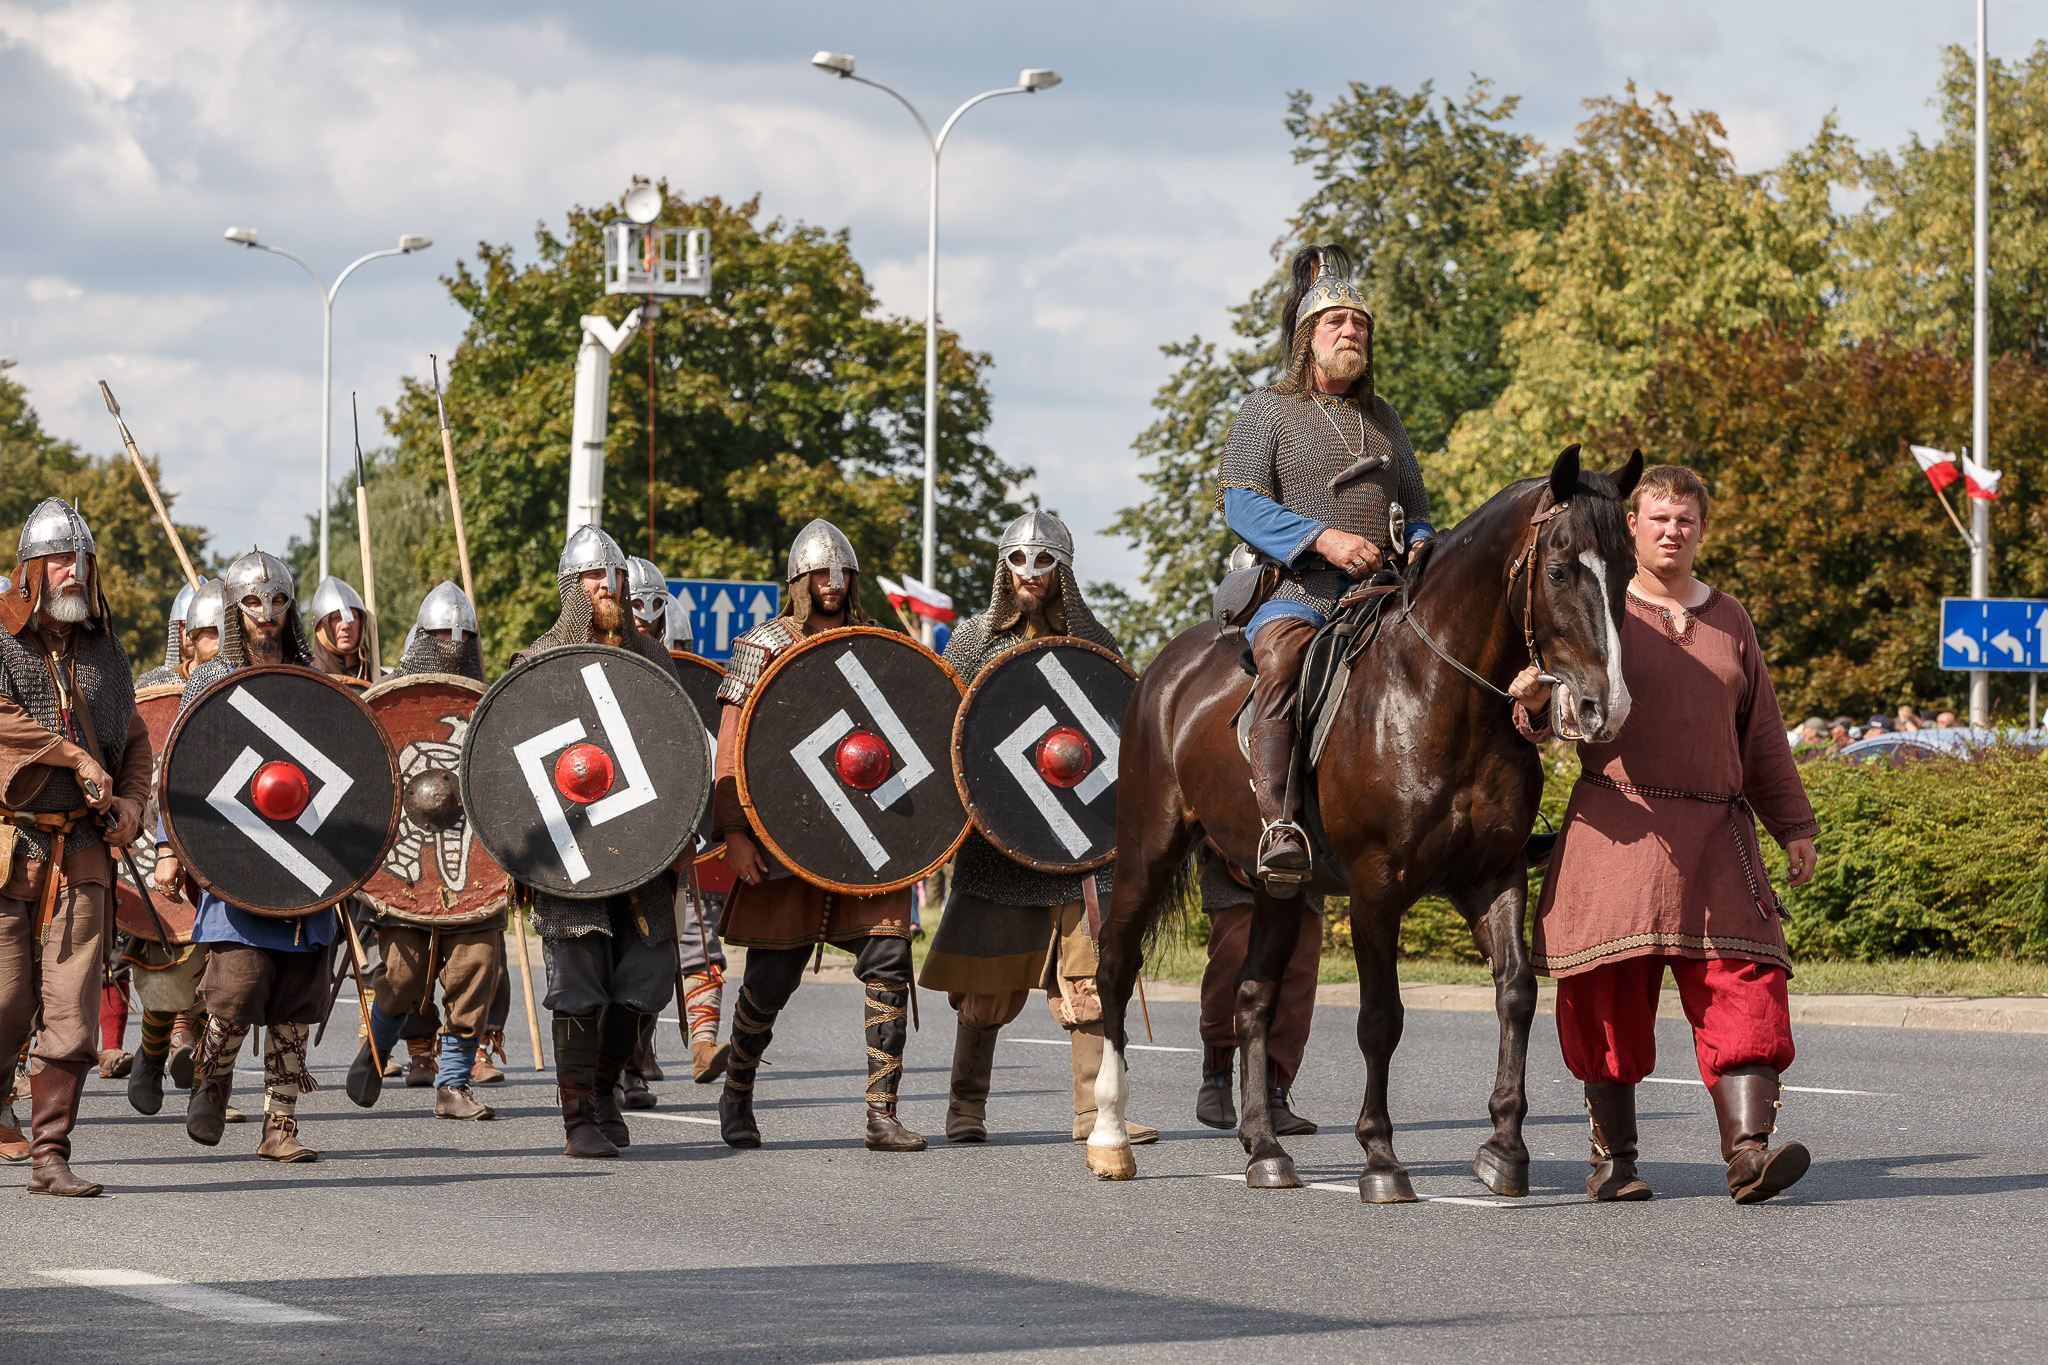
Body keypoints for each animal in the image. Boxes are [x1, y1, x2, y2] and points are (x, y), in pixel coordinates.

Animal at [1089, 446, 1646, 1195]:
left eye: (1628, 570)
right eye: (1559, 569)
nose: (1603, 707)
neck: (1442, 696)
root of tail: (1161, 673)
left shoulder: (1494, 877)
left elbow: (1517, 993)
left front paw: (1504, 1148)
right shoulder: (1377, 888)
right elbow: (1381, 1018)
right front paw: (1381, 1157)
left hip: (1278, 888)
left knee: (1253, 996)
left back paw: (1264, 1148)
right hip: (1148, 848)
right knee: (1116, 966)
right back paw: (1111, 1135)